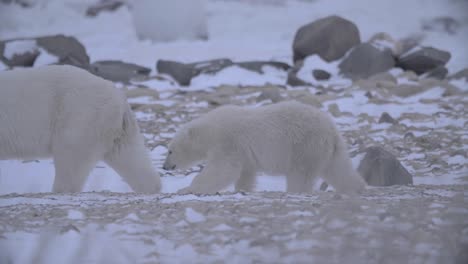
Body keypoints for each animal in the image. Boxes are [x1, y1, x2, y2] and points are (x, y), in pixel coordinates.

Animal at [0, 65, 161, 193]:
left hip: (79, 116)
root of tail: (119, 97)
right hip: (116, 129)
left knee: (70, 159)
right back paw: (150, 188)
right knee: (130, 156)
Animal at [164, 101, 366, 194]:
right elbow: (245, 173)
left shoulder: (227, 142)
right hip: (327, 149)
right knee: (338, 169)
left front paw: (186, 189)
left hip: (304, 145)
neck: (210, 130)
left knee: (300, 174)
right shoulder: (243, 153)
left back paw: (294, 191)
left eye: (170, 150)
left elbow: (220, 170)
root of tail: (331, 129)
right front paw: (243, 190)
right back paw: (357, 188)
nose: (165, 166)